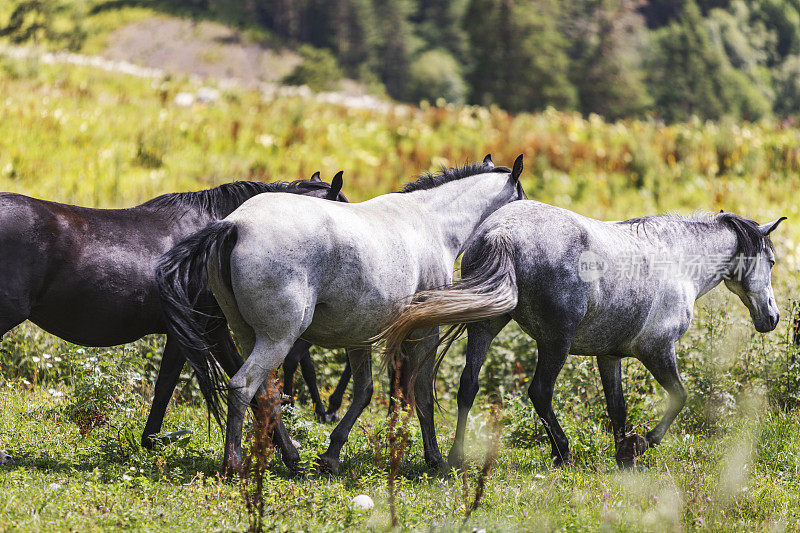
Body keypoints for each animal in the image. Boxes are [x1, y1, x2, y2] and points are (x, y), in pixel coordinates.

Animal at [159, 155, 528, 474]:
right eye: (522, 197)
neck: (431, 223)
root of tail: (235, 224)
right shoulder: (424, 333)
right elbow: (420, 393)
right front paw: (435, 457)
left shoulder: (359, 336)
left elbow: (364, 392)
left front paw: (331, 454)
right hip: (278, 339)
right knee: (242, 388)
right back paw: (234, 464)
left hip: (249, 336)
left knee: (264, 395)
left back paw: (291, 457)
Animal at [382, 202, 788, 468]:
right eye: (770, 261)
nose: (772, 317)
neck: (674, 261)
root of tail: (502, 232)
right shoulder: (657, 349)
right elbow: (678, 397)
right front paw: (641, 444)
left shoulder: (609, 355)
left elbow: (617, 406)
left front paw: (624, 455)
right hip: (554, 342)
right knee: (540, 392)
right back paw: (563, 453)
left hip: (486, 325)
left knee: (469, 385)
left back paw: (454, 458)